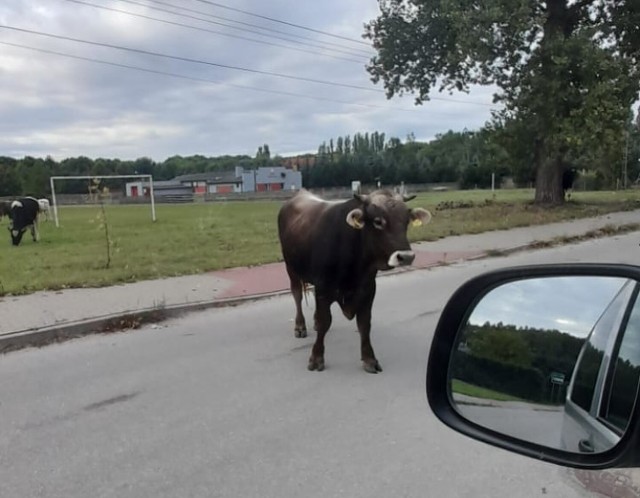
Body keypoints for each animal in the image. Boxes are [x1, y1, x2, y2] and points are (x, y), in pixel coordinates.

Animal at [278, 191, 432, 374]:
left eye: (407, 220)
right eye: (378, 221)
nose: (406, 257)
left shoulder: (368, 289)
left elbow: (364, 324)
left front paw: (369, 359)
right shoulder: (324, 288)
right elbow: (324, 322)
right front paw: (316, 358)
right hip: (290, 268)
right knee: (297, 295)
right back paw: (300, 326)